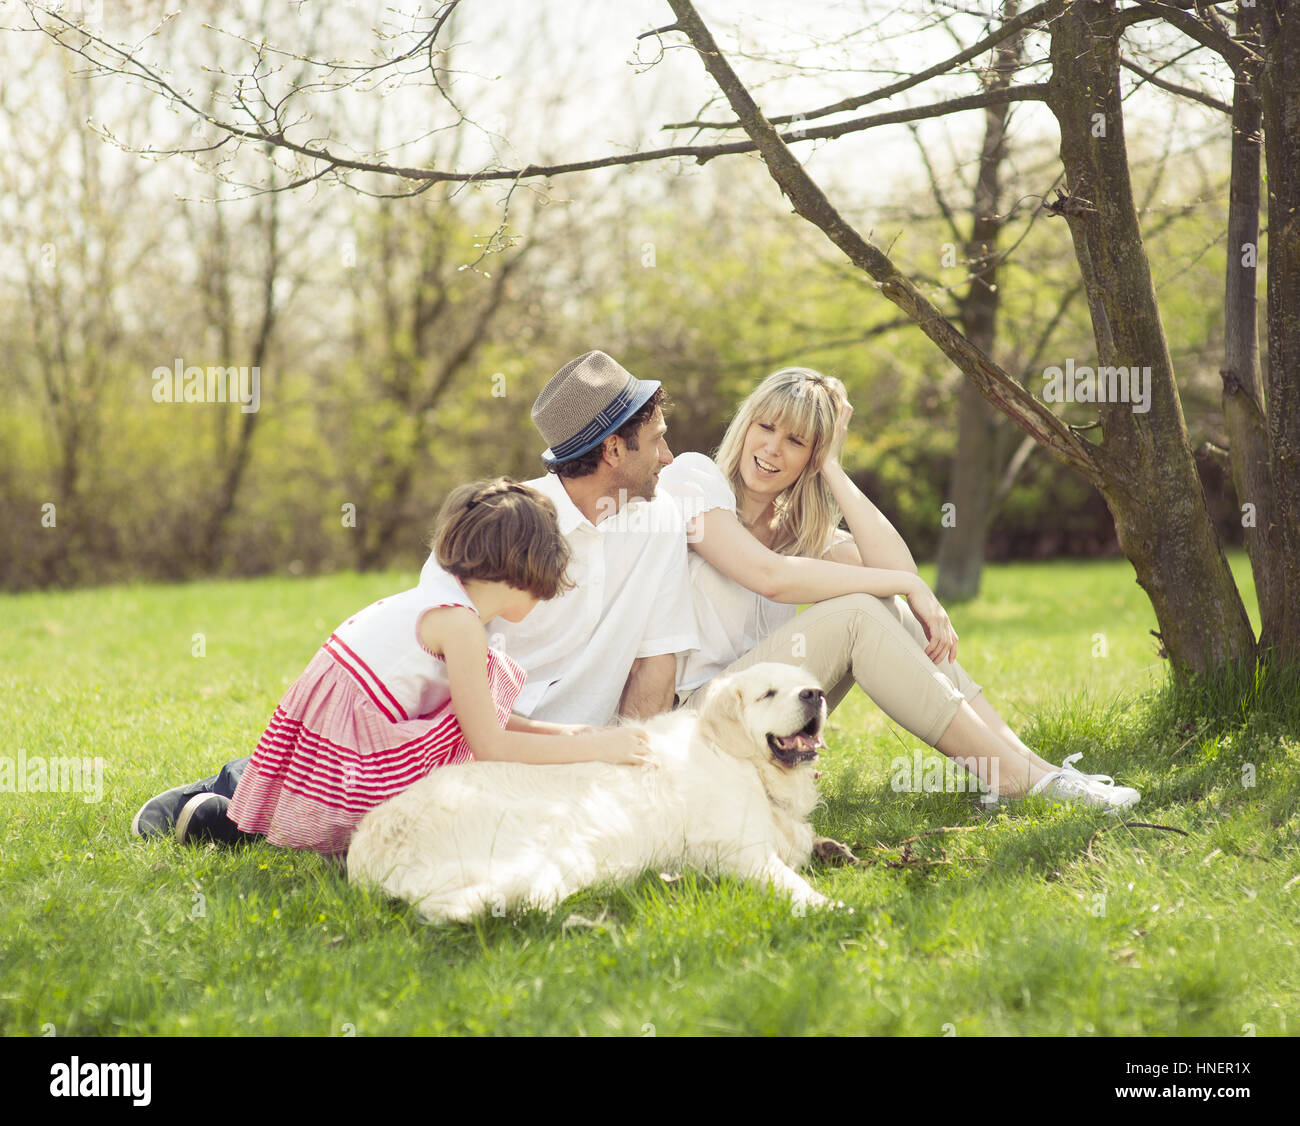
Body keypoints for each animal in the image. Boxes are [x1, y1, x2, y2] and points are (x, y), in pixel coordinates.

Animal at [345, 663, 832, 915]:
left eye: (805, 683)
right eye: (768, 694)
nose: (815, 694)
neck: (742, 762)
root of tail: (368, 848)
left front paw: (828, 847)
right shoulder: (740, 851)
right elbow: (788, 879)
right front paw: (828, 907)